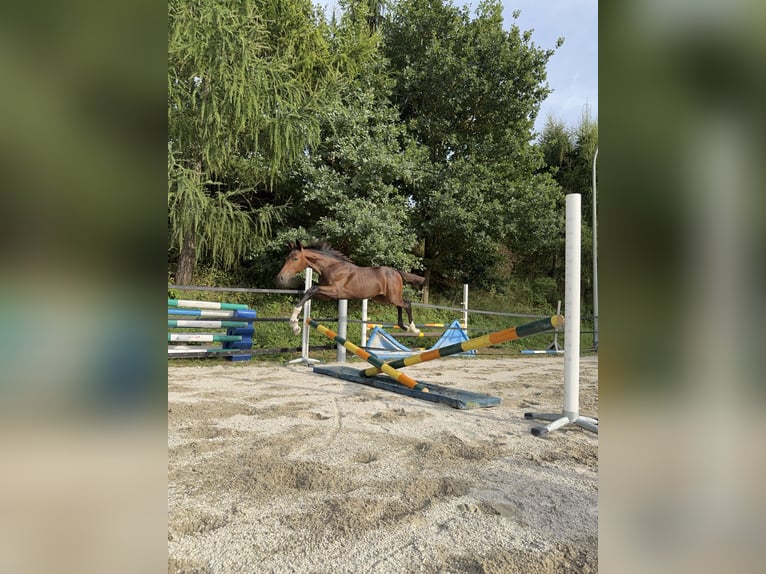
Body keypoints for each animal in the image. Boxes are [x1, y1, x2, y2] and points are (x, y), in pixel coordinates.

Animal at [276, 240, 425, 336]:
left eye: (295, 259)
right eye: (287, 258)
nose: (280, 277)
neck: (331, 267)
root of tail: (396, 271)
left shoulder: (335, 291)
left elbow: (311, 289)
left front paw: (293, 323)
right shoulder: (325, 295)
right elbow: (309, 293)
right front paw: (295, 326)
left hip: (391, 297)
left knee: (407, 303)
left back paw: (413, 329)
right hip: (384, 298)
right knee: (401, 304)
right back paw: (403, 326)